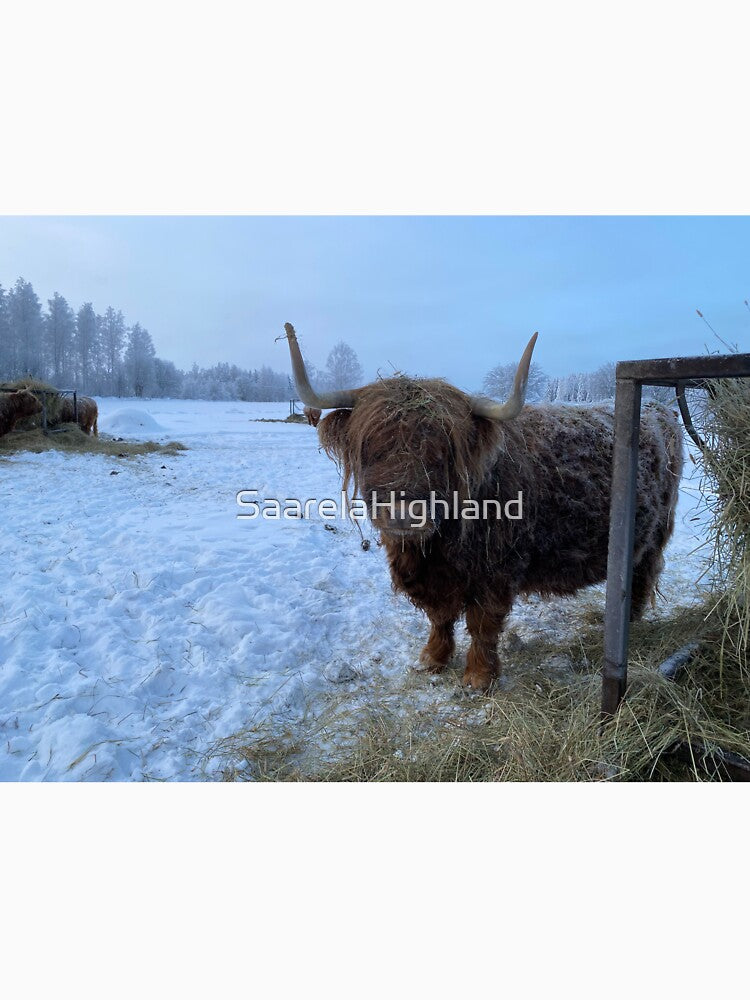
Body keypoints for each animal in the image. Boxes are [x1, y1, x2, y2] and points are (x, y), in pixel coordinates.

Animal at [281, 322, 684, 691]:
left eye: (442, 453)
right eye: (370, 449)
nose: (404, 513)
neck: (436, 546)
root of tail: (660, 409)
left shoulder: (498, 570)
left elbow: (482, 623)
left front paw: (478, 676)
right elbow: (439, 617)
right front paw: (432, 659)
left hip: (654, 531)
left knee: (642, 573)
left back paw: (628, 622)